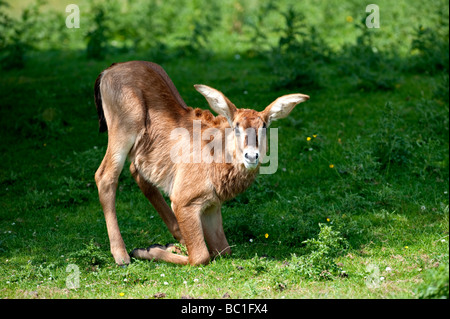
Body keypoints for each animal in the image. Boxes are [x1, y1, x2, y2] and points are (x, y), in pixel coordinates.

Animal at [92, 61, 308, 266]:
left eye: (264, 126)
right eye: (236, 127)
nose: (251, 156)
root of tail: (108, 71)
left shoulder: (211, 205)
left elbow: (223, 250)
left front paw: (160, 247)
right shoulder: (184, 202)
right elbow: (200, 257)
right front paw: (146, 251)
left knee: (137, 172)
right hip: (123, 130)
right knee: (105, 176)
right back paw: (122, 255)